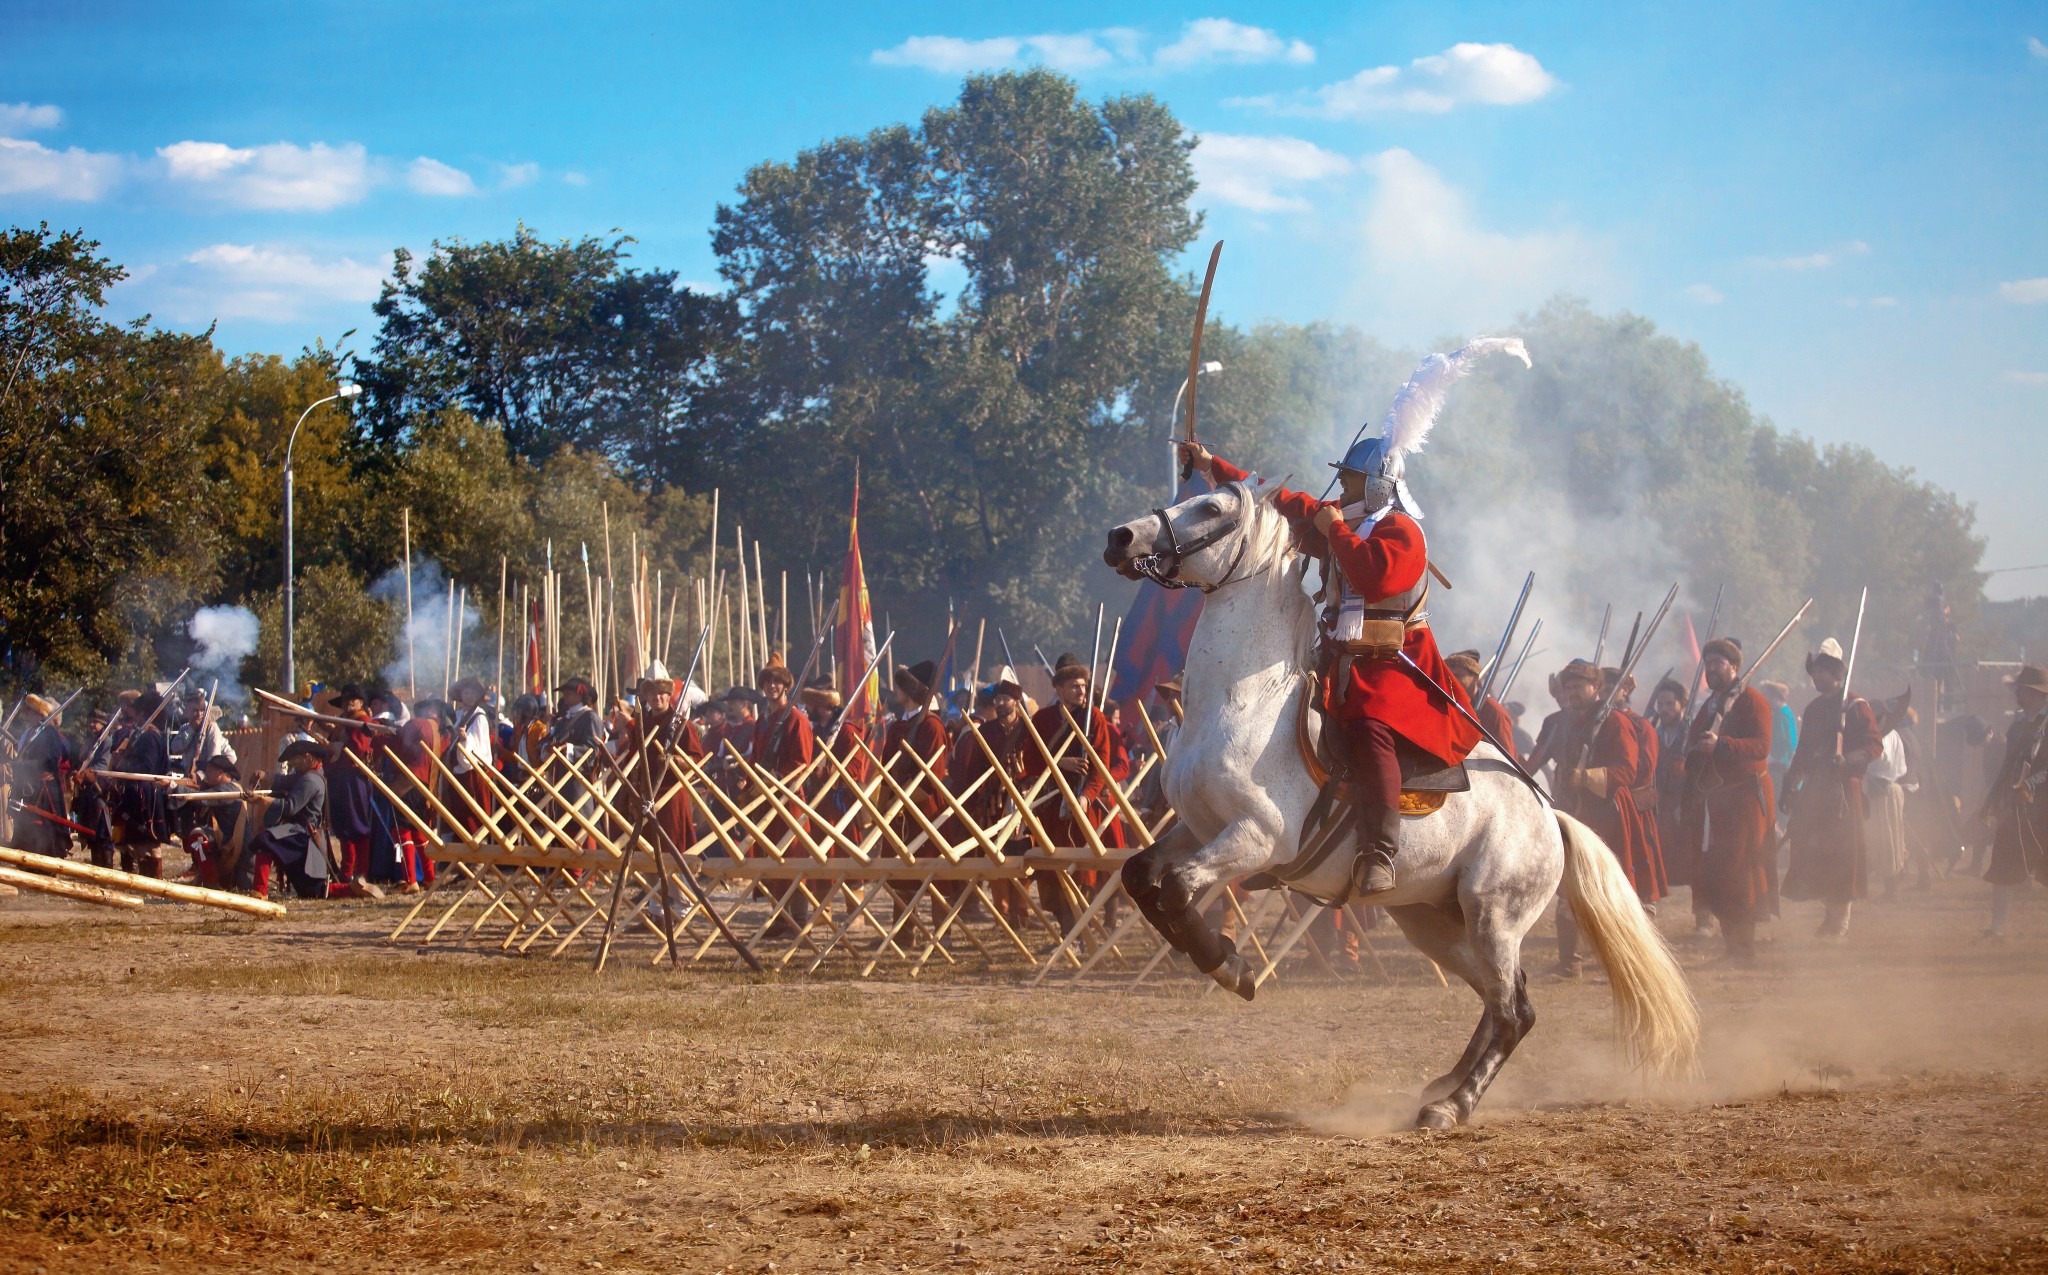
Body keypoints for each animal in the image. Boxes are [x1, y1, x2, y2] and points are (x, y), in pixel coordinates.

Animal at [1103, 476, 1699, 1129]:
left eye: (1211, 507)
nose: (1121, 537)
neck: (1242, 704)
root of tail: (1549, 814)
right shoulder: (1198, 827)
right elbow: (1141, 877)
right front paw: (1218, 957)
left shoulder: (1254, 838)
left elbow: (1178, 889)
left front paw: (1231, 967)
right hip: (1432, 921)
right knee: (1500, 999)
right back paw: (1444, 1085)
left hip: (1493, 915)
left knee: (1514, 1012)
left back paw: (1453, 1105)